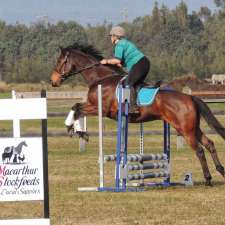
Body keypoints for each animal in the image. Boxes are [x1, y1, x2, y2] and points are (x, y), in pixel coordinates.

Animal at [50, 43, 225, 185]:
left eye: (60, 61)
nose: (53, 81)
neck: (101, 78)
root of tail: (190, 97)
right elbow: (77, 107)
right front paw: (79, 131)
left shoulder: (101, 108)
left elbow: (77, 108)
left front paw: (75, 130)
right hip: (193, 127)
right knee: (210, 144)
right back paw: (220, 171)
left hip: (185, 129)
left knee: (200, 150)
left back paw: (208, 178)